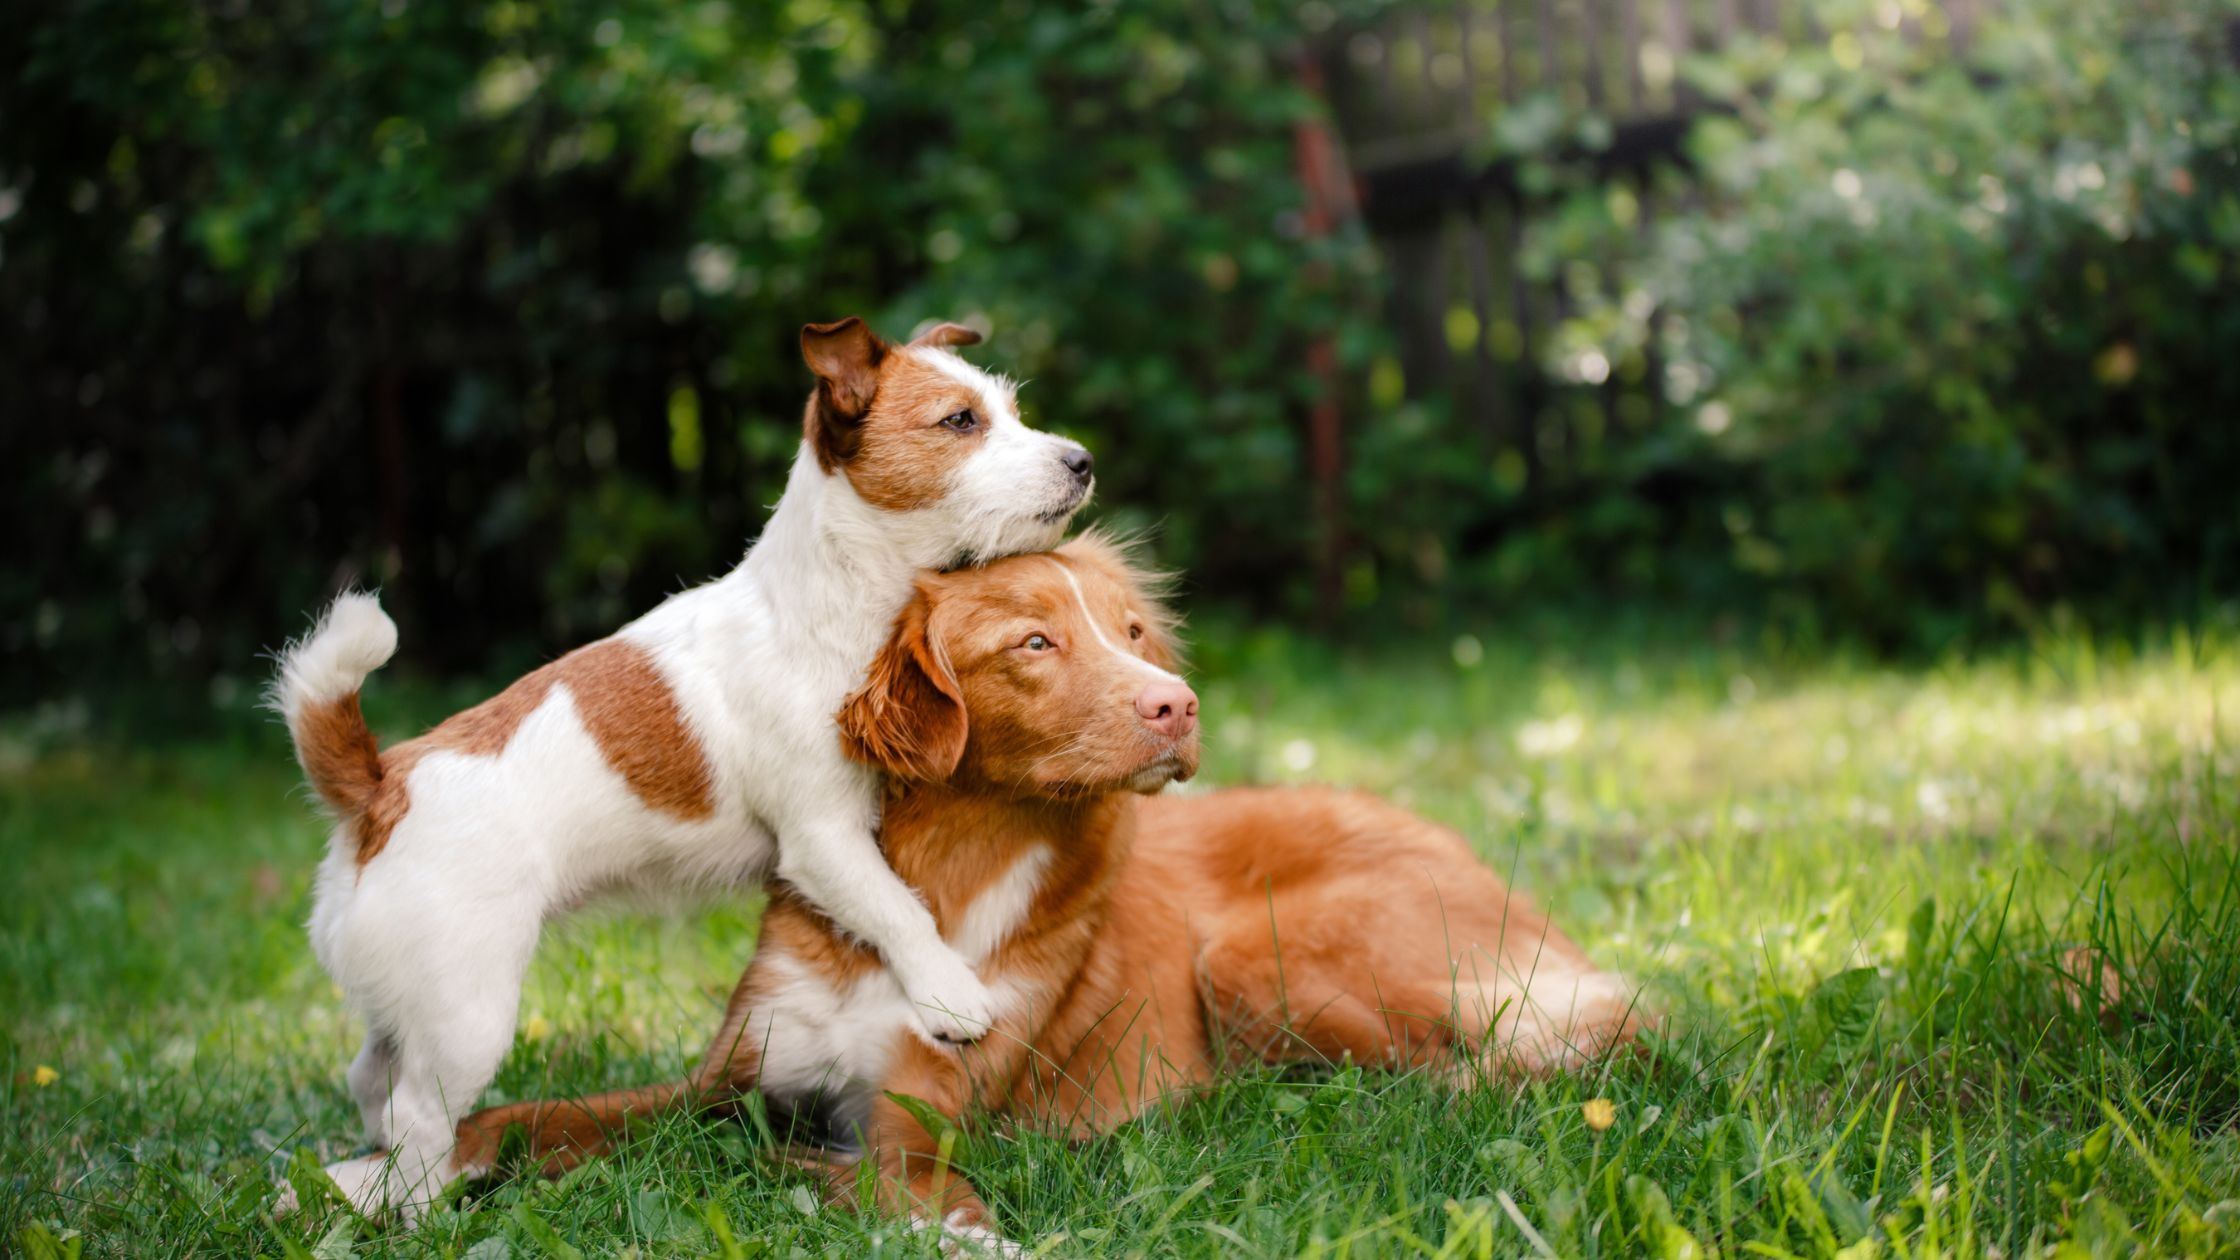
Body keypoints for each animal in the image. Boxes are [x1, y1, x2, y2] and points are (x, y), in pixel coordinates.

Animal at [271, 316, 1093, 1219]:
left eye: (1012, 411)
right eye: (959, 421)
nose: (1082, 459)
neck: (829, 603)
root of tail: (379, 787)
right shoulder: (823, 837)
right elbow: (897, 909)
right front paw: (951, 993)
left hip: (407, 1001)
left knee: (372, 1077)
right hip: (467, 1014)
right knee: (417, 1116)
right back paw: (421, 1214)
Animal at [459, 531, 1648, 1246]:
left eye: (1130, 634)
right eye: (1034, 642)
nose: (1178, 704)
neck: (939, 884)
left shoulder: (915, 1127)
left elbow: (880, 1181)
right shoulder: (727, 1079)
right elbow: (537, 1113)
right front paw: (430, 1167)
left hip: (1256, 957)